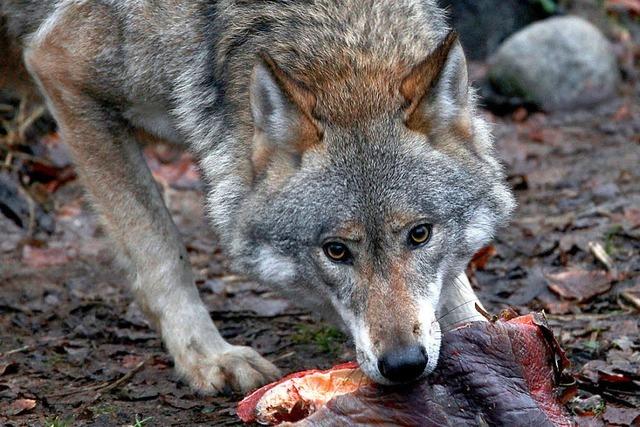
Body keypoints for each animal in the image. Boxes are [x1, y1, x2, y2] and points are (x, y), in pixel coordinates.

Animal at [1, 0, 516, 394]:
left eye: (420, 234)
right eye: (336, 251)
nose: (404, 364)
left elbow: (456, 289)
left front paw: (491, 337)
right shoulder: (61, 70)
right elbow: (161, 251)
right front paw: (207, 357)